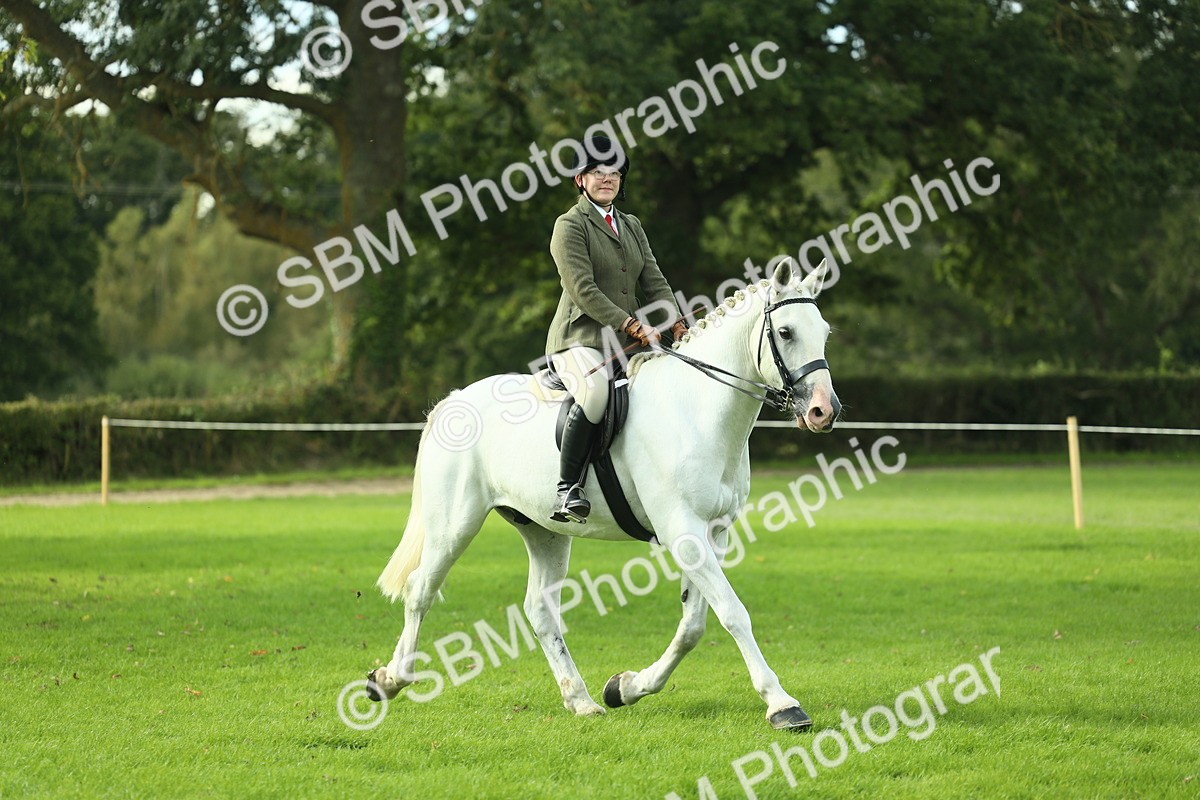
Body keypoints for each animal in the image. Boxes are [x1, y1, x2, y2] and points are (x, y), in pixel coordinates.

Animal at [367, 259, 840, 730]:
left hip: (544, 530)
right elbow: (732, 613)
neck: (698, 409)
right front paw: (782, 704)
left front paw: (626, 687)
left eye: (824, 332)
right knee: (421, 590)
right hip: (454, 524)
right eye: (786, 332)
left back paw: (580, 700)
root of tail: (453, 400)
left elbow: (693, 625)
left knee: (540, 610)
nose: (825, 411)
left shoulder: (713, 531)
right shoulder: (682, 530)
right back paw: (389, 680)